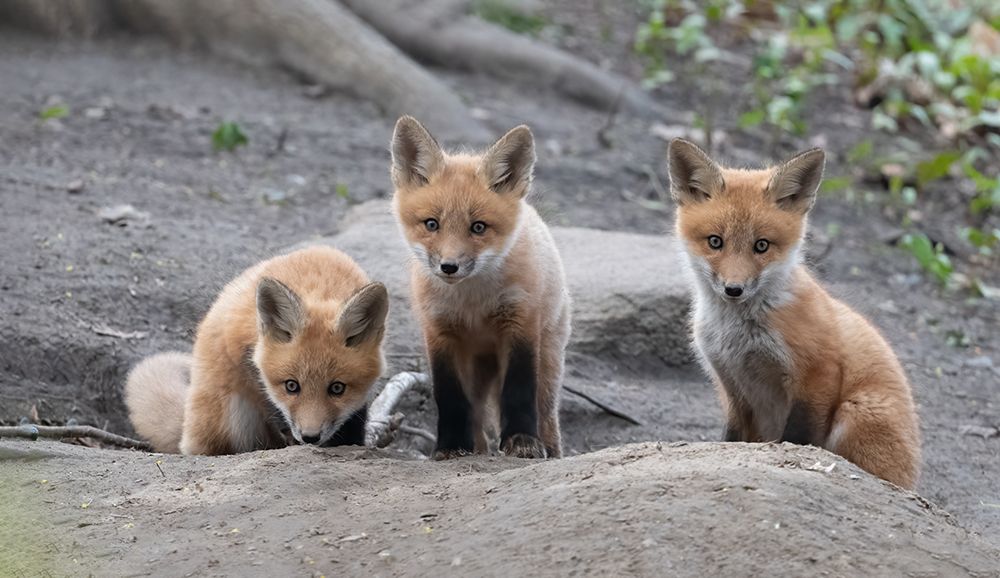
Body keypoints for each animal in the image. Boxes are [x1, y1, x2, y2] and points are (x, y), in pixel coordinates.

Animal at [124, 246, 389, 455]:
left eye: (337, 388)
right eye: (291, 386)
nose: (310, 437)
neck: (320, 283)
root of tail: (187, 427)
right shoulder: (240, 349)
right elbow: (269, 402)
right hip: (231, 415)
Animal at [390, 116, 571, 459]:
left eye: (478, 227)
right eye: (431, 224)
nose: (449, 267)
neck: (472, 302)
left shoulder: (520, 323)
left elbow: (519, 389)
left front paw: (522, 440)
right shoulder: (439, 332)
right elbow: (449, 397)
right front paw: (450, 446)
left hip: (548, 360)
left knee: (546, 410)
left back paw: (550, 449)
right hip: (475, 368)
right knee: (475, 412)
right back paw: (475, 448)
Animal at [667, 138, 921, 489]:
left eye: (761, 246)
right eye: (715, 242)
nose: (734, 289)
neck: (738, 336)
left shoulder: (817, 374)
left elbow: (797, 438)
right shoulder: (731, 386)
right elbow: (731, 439)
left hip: (855, 412)